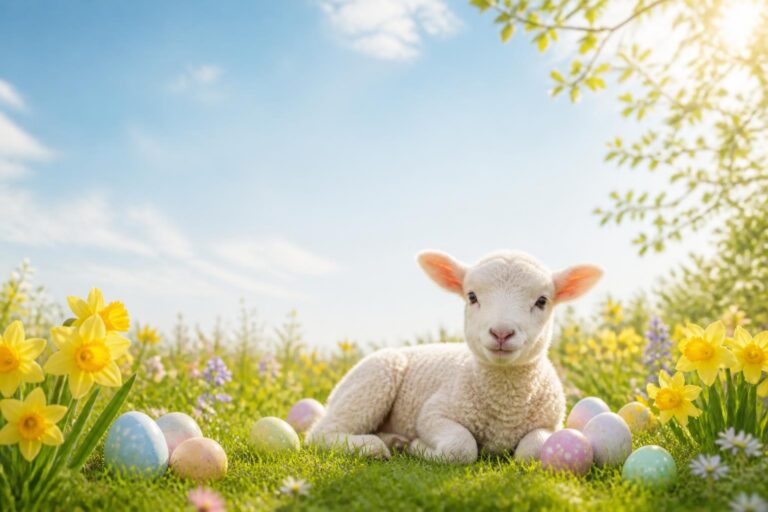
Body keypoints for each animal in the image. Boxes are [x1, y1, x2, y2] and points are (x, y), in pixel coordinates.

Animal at [306, 250, 602, 463]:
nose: (501, 332)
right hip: (373, 381)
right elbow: (461, 447)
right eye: (471, 296)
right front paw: (419, 447)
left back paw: (393, 441)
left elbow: (530, 451)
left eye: (542, 301)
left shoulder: (551, 423)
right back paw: (373, 447)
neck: (504, 408)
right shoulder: (432, 414)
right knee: (319, 434)